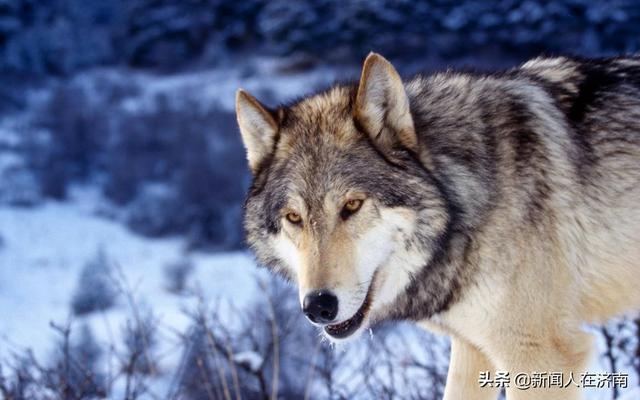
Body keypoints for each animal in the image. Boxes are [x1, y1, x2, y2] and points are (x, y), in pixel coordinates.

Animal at [234, 53, 640, 400]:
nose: (318, 306)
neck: (465, 201)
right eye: (294, 218)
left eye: (352, 205)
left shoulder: (539, 356)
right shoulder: (472, 347)